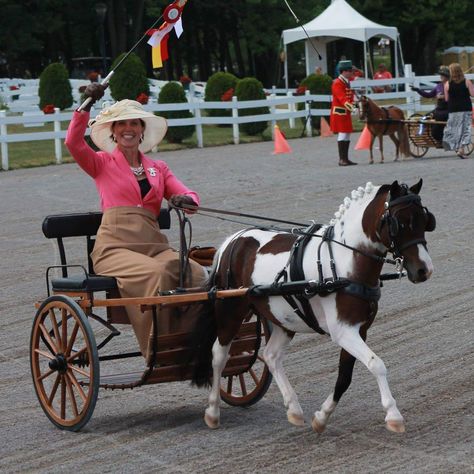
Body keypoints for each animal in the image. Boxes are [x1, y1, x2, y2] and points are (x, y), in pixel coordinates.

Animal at [191, 181, 436, 434]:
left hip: (282, 318)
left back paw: (294, 409)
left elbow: (344, 377)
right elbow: (376, 364)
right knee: (219, 356)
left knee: (271, 356)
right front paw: (393, 415)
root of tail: (233, 240)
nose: (424, 270)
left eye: (425, 221)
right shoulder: (343, 331)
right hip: (230, 311)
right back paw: (212, 411)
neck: (343, 262)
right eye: (400, 223)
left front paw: (322, 416)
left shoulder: (359, 329)